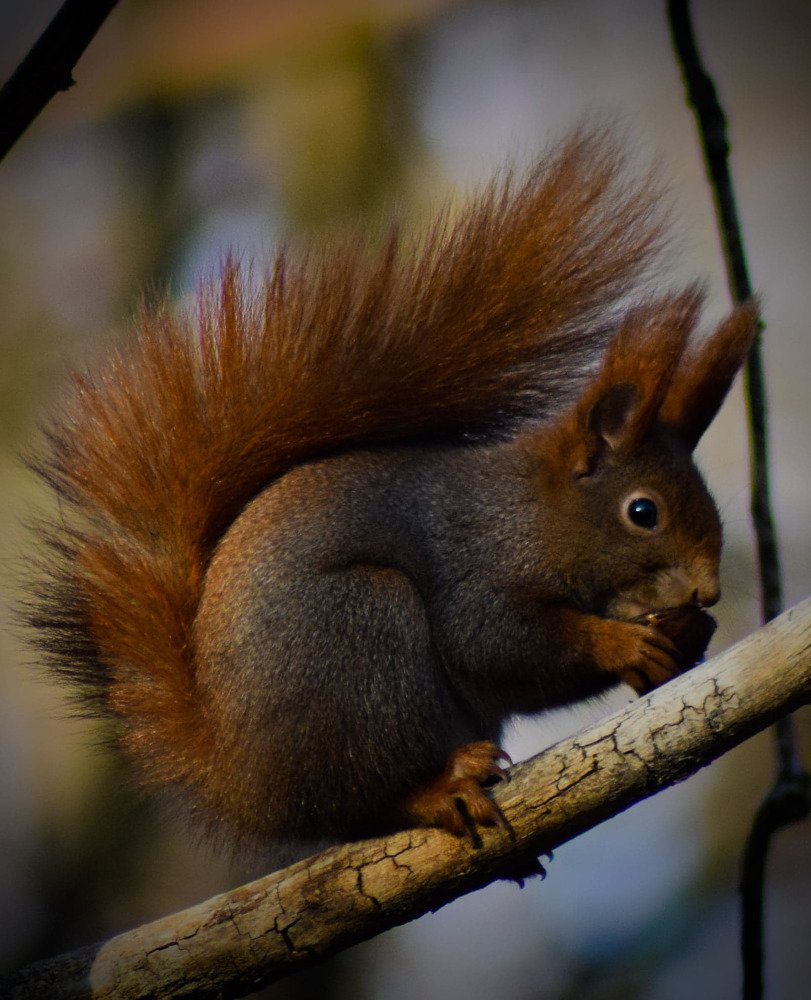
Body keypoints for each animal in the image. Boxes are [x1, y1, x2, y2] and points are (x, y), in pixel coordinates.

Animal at [28, 131, 757, 853]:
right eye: (642, 512)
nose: (707, 591)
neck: (535, 512)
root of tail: (240, 781)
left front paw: (684, 638)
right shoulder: (478, 563)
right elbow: (496, 646)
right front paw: (624, 644)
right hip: (361, 636)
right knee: (363, 800)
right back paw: (437, 789)